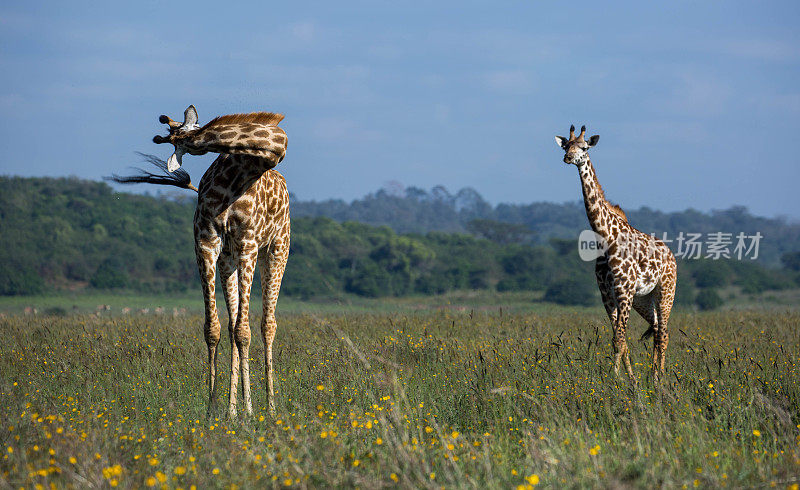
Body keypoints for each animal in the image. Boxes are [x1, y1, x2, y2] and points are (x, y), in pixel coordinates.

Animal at [145, 104, 290, 418]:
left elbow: (245, 331)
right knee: (235, 323)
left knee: (266, 324)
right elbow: (214, 329)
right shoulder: (207, 243)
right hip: (228, 260)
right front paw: (214, 409)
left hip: (277, 249)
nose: (159, 137)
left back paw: (270, 408)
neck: (237, 173)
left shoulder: (248, 243)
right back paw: (236, 409)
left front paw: (247, 411)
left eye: (187, 133)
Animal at [552, 125, 680, 382]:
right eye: (565, 146)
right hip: (644, 298)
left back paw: (660, 378)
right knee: (657, 328)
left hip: (665, 291)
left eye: (584, 147)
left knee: (664, 332)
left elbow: (619, 337)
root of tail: (671, 256)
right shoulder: (607, 294)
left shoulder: (624, 291)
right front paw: (629, 378)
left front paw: (616, 378)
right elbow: (618, 340)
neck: (606, 236)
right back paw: (653, 375)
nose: (568, 158)